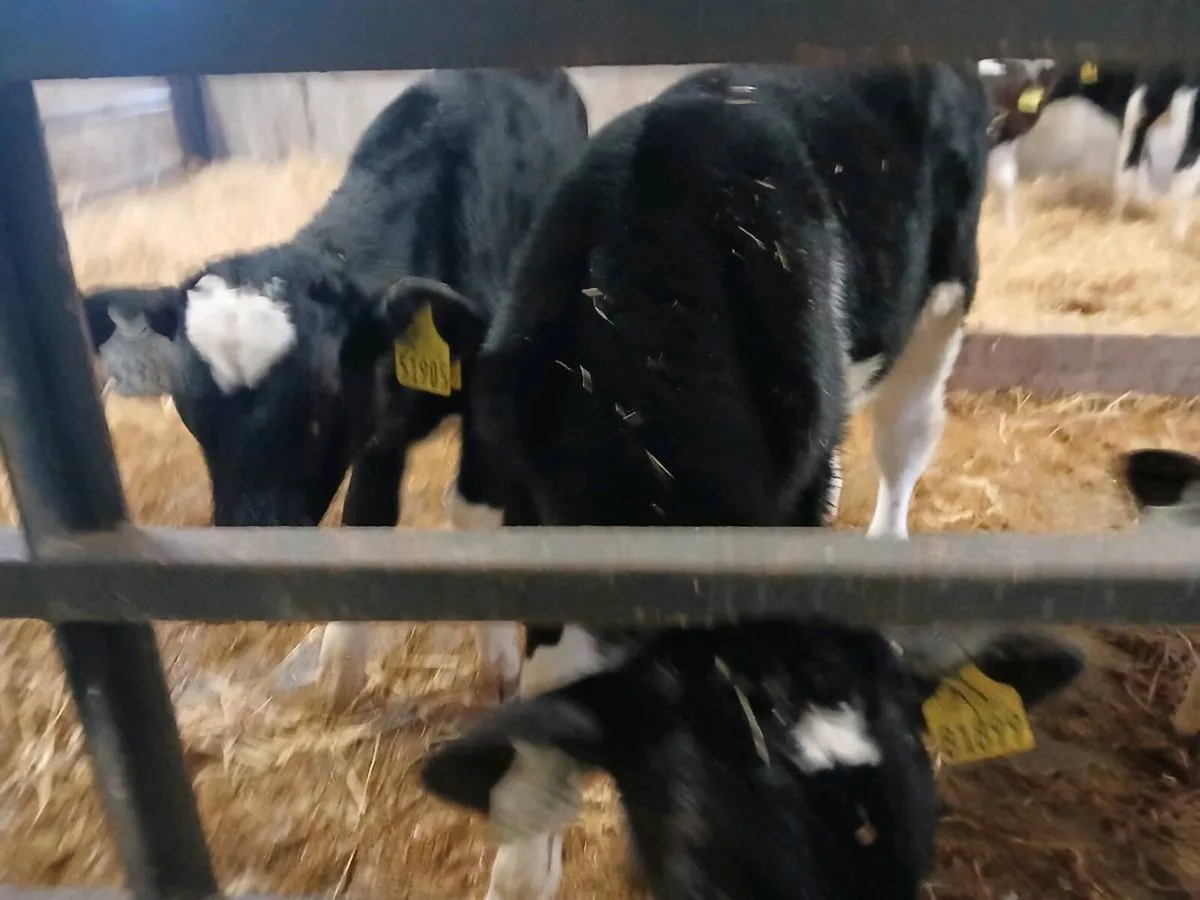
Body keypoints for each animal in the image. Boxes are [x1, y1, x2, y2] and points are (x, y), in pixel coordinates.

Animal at [78, 68, 591, 711]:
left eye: (322, 398)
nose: (257, 552)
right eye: (191, 406)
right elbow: (366, 519)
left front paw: (502, 661)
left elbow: (473, 514)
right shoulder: (380, 427)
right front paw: (342, 669)